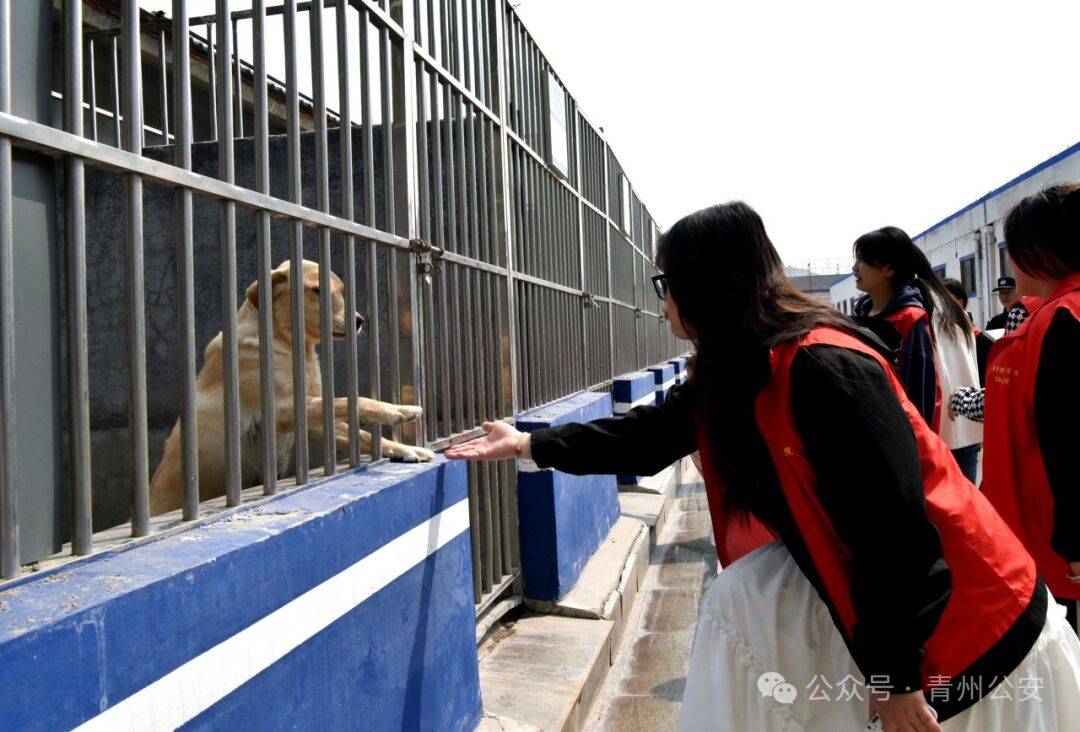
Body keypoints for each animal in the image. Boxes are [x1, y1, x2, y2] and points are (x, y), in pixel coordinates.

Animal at [150, 259, 436, 516]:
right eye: (317, 289)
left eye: (341, 290)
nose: (359, 320)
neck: (287, 342)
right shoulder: (282, 410)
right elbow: (351, 400)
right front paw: (399, 411)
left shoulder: (313, 422)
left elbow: (361, 433)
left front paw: (408, 449)